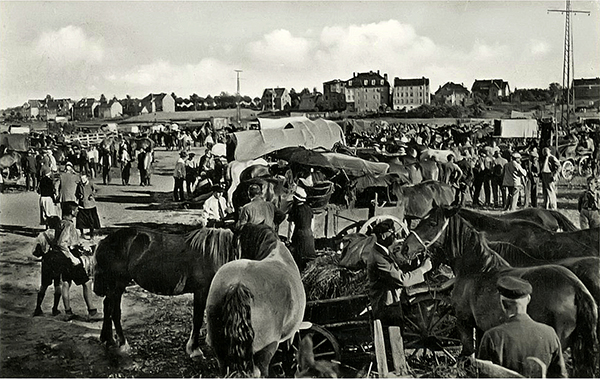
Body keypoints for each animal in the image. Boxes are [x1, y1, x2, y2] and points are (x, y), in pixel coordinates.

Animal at [93, 224, 270, 358]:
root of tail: (105, 241)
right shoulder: (201, 292)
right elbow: (197, 319)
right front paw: (194, 349)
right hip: (117, 285)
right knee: (114, 311)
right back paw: (123, 344)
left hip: (113, 287)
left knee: (107, 306)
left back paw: (107, 339)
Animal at [398, 211, 600, 378]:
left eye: (432, 223)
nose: (405, 248)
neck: (477, 269)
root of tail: (577, 288)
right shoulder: (482, 328)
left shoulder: (465, 323)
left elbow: (468, 356)